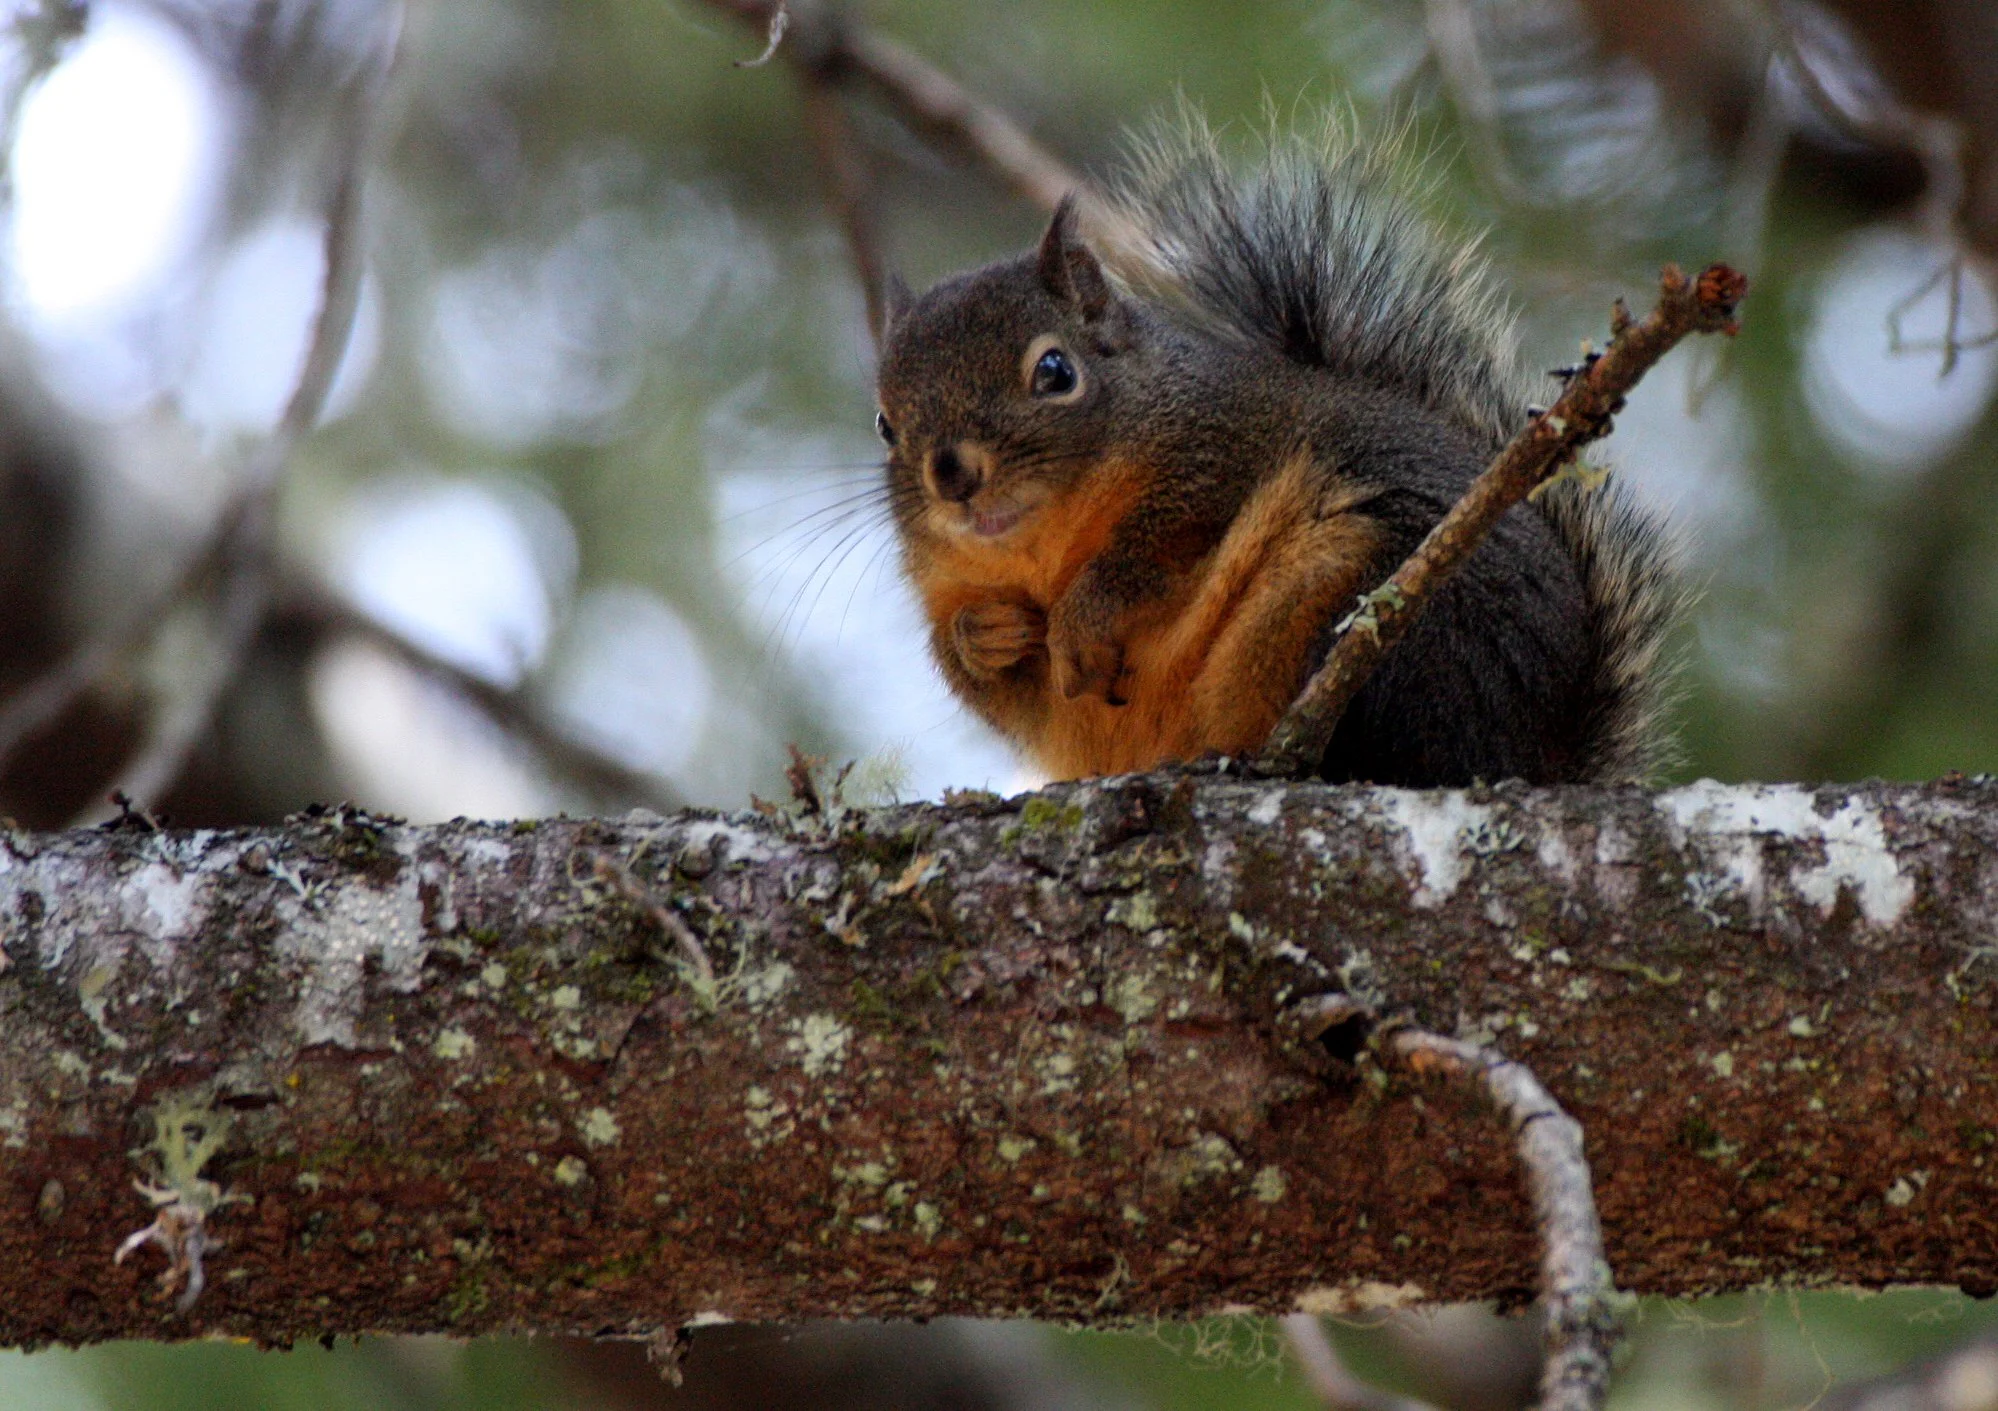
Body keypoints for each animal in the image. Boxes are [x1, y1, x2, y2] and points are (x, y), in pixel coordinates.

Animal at [873, 116, 1679, 787]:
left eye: (1054, 371)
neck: (1045, 550)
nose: (952, 474)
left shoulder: (1229, 449)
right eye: (884, 422)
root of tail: (1533, 758)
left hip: (1389, 607)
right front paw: (984, 635)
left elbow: (1152, 550)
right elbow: (988, 688)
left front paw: (1084, 615)